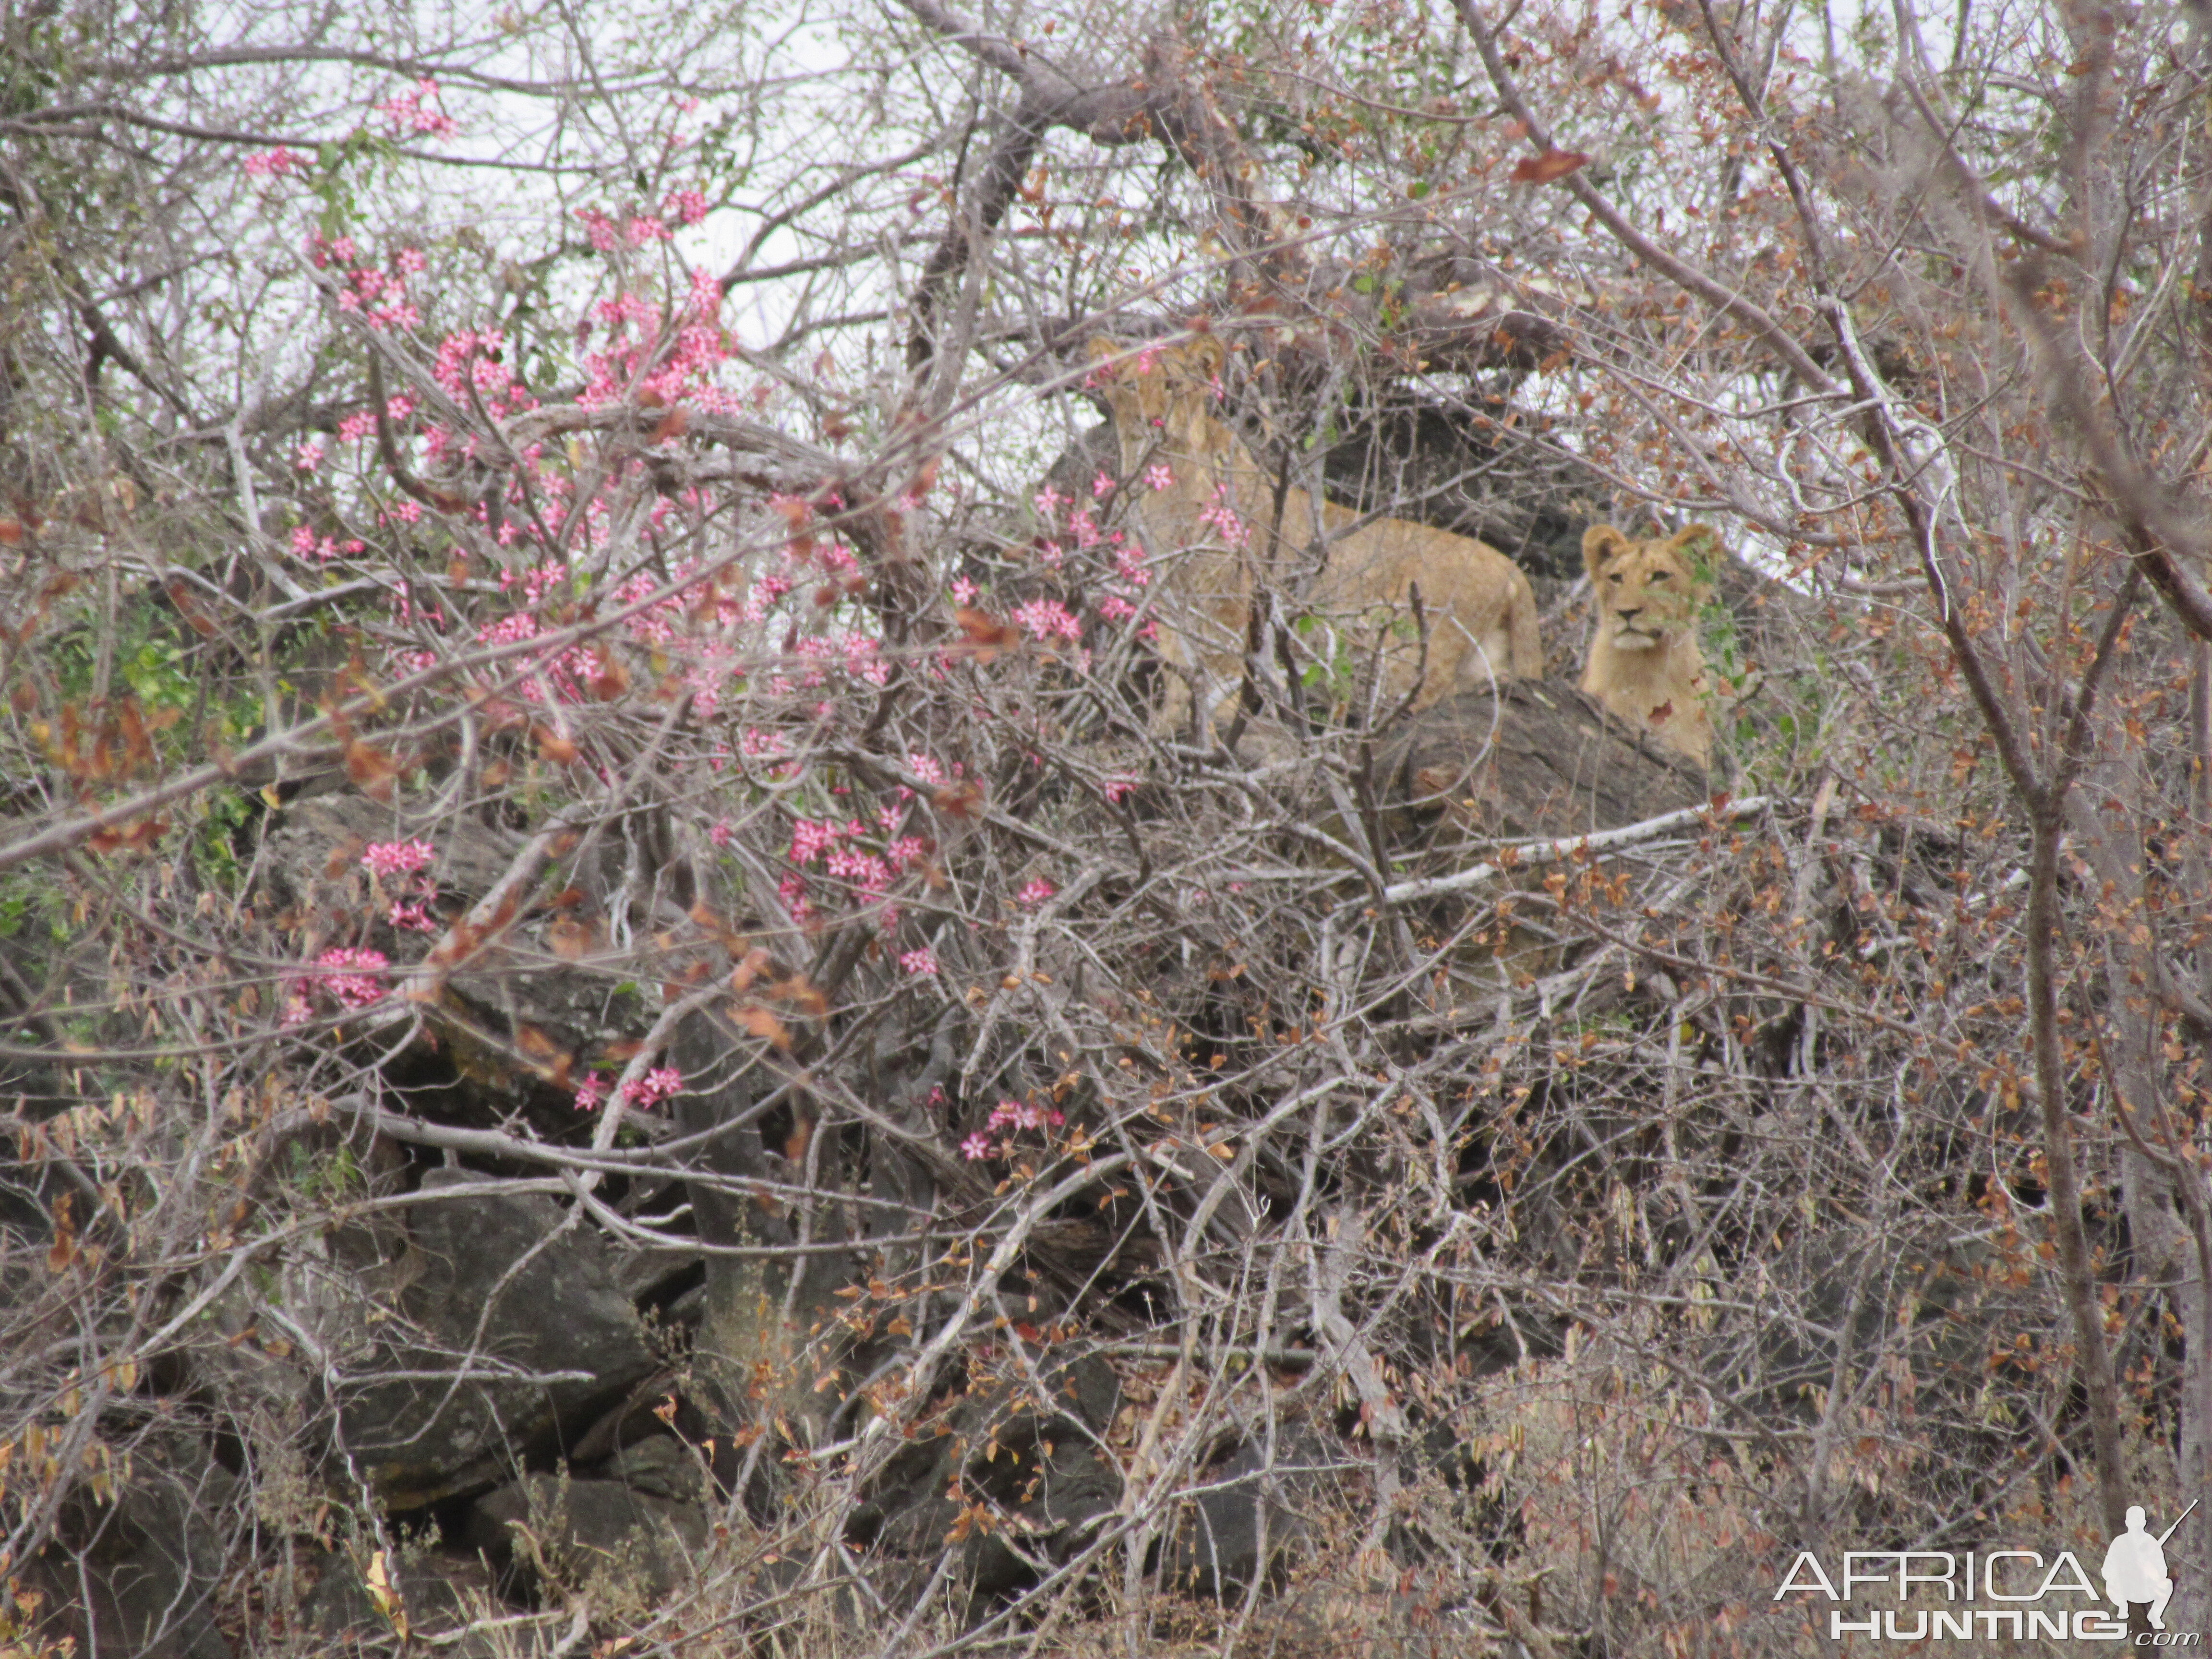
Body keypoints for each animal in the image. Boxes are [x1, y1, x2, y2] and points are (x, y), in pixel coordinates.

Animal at [1083, 338, 1539, 739]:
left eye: (1173, 385)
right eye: (1130, 386)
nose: (1152, 421)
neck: (1158, 485)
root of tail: (1512, 570)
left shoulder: (1232, 591)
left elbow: (1224, 660)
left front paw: (1218, 717)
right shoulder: (1169, 592)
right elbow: (1180, 661)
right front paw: (1168, 722)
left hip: (1410, 642)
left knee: (1423, 701)